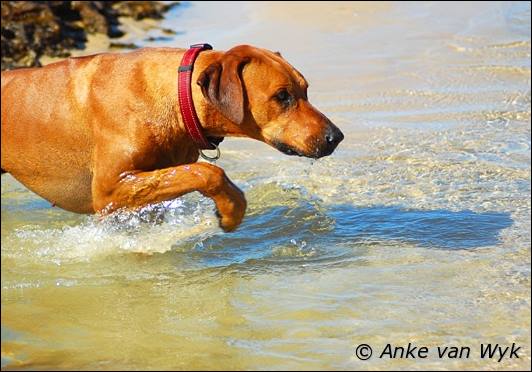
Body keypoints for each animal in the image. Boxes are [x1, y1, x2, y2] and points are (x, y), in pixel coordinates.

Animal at [2, 45, 342, 231]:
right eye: (282, 96)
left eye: (306, 90)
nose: (335, 137)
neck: (175, 97)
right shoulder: (109, 191)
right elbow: (209, 171)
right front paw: (232, 208)